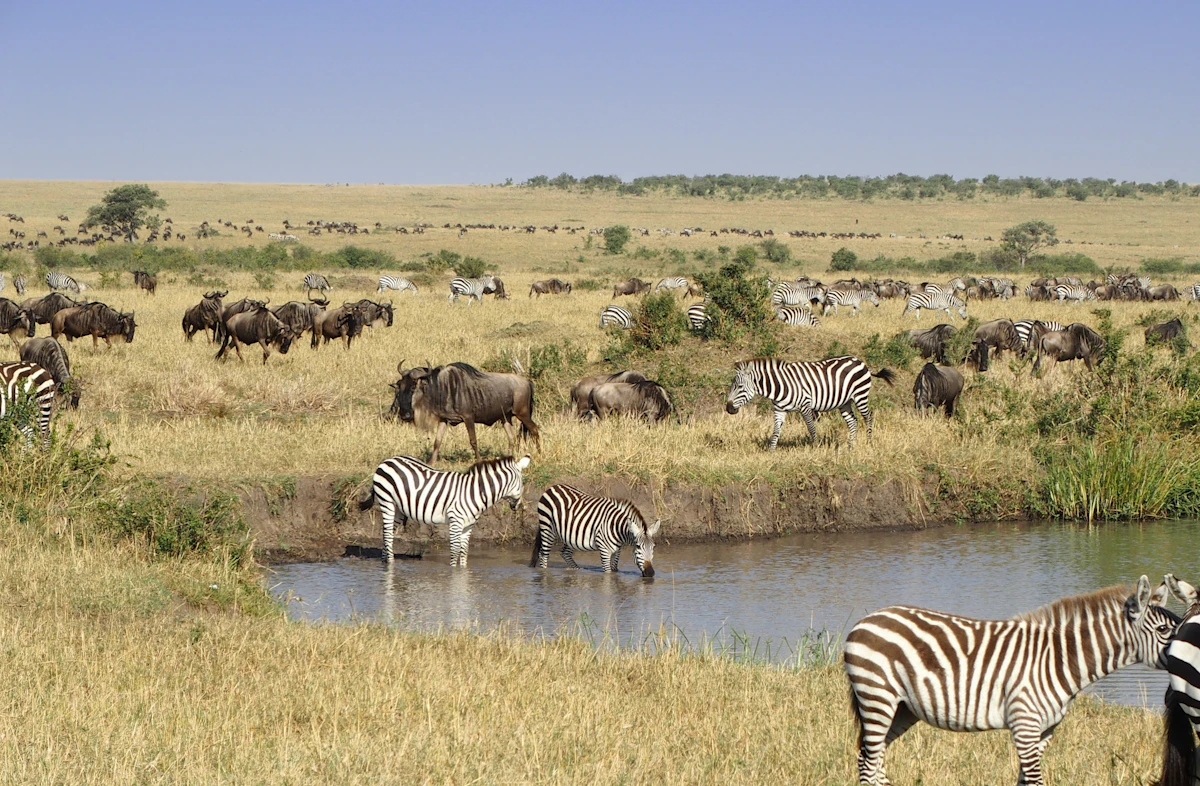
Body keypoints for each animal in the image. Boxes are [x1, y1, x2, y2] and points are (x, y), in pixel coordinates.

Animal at [360, 454, 530, 565]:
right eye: (522, 483)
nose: (518, 506)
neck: (475, 492)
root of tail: (387, 460)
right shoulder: (456, 522)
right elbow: (455, 551)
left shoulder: (468, 525)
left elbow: (464, 551)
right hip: (387, 502)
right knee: (388, 534)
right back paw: (391, 564)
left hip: (399, 509)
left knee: (387, 533)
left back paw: (385, 560)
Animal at [530, 484, 660, 577]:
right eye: (638, 547)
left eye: (653, 547)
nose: (650, 573)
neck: (617, 528)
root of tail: (552, 487)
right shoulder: (604, 550)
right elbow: (608, 574)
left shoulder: (617, 551)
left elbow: (614, 570)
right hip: (547, 528)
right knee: (543, 555)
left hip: (570, 536)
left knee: (564, 553)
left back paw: (577, 571)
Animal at [724, 356, 896, 449]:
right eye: (732, 386)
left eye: (739, 387)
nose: (728, 408)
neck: (780, 385)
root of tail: (860, 361)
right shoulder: (779, 410)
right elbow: (776, 431)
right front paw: (771, 451)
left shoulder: (805, 406)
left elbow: (811, 428)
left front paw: (817, 447)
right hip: (845, 402)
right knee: (853, 422)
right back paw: (849, 446)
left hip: (860, 395)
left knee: (868, 416)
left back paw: (868, 442)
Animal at [844, 576, 1178, 786]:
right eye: (1164, 629)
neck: (1058, 658)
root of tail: (866, 620)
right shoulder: (1025, 724)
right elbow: (1035, 780)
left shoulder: (1044, 730)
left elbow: (1025, 780)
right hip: (877, 698)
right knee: (868, 763)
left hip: (902, 709)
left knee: (873, 759)